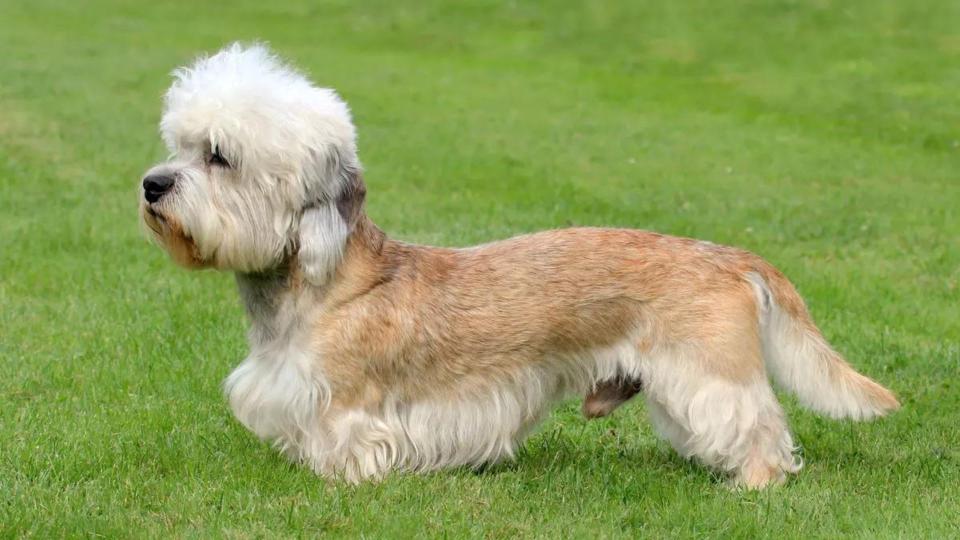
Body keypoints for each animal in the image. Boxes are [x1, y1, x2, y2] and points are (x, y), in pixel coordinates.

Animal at [137, 44, 900, 488]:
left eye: (219, 156)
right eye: (177, 146)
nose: (151, 185)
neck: (318, 287)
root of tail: (732, 257)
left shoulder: (349, 405)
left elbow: (346, 444)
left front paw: (341, 478)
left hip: (710, 375)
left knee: (758, 424)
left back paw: (756, 482)